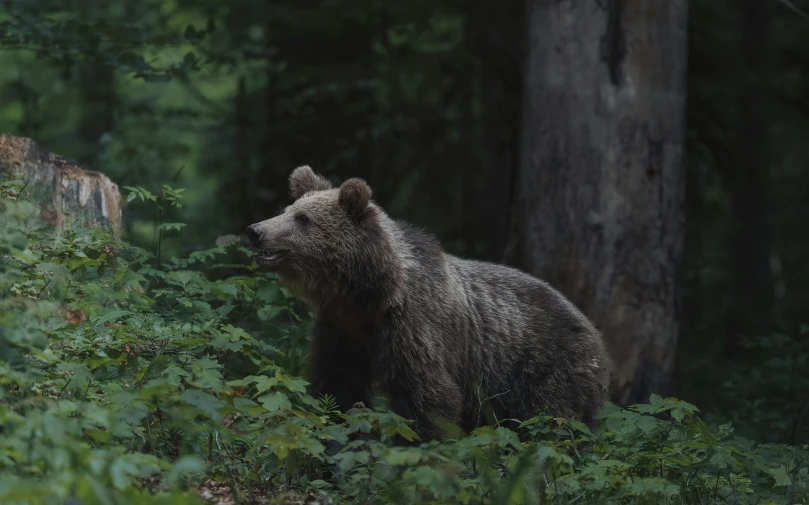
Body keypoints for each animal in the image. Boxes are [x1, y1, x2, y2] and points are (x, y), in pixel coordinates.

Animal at [246, 166, 608, 440]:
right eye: (285, 211)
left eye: (303, 219)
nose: (255, 230)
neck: (368, 295)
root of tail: (594, 331)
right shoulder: (341, 329)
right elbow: (336, 385)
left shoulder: (413, 326)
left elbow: (428, 397)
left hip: (544, 366)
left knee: (553, 419)